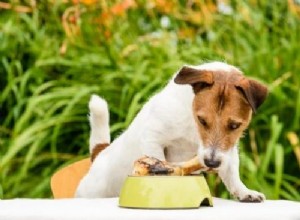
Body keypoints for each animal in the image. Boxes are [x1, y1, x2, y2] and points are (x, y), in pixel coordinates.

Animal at [76, 61, 268, 202]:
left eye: (234, 125)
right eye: (202, 120)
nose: (211, 163)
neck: (191, 122)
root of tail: (100, 154)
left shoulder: (228, 150)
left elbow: (232, 173)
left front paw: (244, 192)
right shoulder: (153, 139)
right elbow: (159, 163)